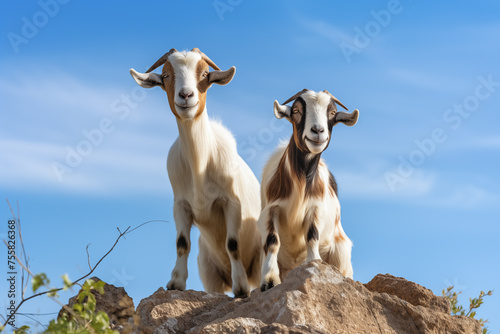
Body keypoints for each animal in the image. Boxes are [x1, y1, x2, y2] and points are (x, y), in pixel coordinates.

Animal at [129, 47, 262, 298]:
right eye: (166, 76)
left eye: (205, 74)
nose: (186, 95)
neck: (200, 164)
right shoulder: (181, 205)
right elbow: (182, 243)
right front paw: (176, 282)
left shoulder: (232, 203)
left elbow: (232, 243)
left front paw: (240, 288)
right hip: (210, 271)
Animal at [260, 88, 358, 290]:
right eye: (296, 111)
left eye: (332, 113)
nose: (318, 131)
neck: (300, 182)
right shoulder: (271, 209)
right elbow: (272, 241)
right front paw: (270, 280)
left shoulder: (315, 208)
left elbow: (312, 237)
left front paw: (313, 267)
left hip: (341, 253)